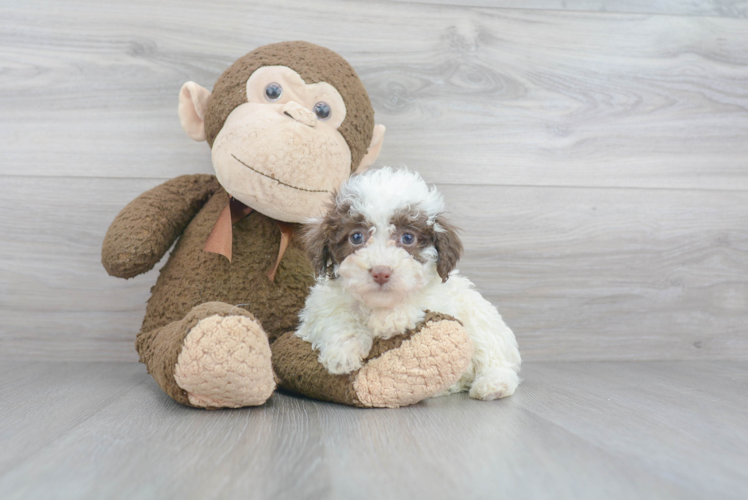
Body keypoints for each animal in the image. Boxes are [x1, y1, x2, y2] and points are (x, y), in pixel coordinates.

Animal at [296, 168, 520, 402]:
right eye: (356, 237)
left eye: (407, 238)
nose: (381, 272)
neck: (377, 303)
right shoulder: (320, 306)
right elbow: (336, 316)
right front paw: (343, 353)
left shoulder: (441, 300)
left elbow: (418, 300)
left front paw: (389, 319)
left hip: (482, 320)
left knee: (495, 358)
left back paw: (493, 385)